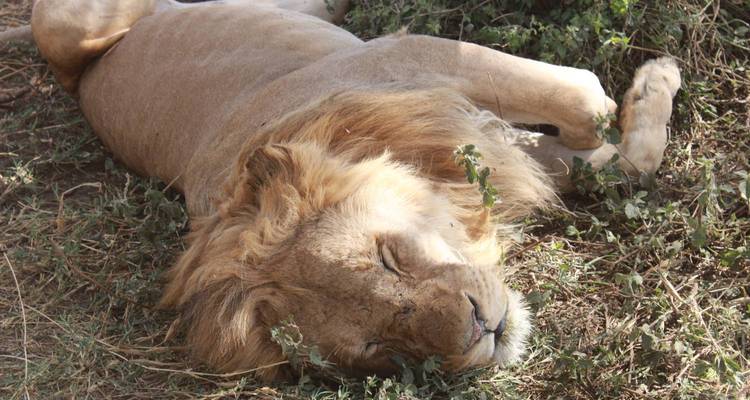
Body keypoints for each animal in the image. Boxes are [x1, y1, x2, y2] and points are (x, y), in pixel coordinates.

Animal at [27, 0, 680, 381]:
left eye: (386, 259)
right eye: (377, 347)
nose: (482, 331)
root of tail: (75, 79)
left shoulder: (412, 57)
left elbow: (586, 106)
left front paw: (653, 78)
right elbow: (618, 161)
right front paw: (652, 89)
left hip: (72, 24)